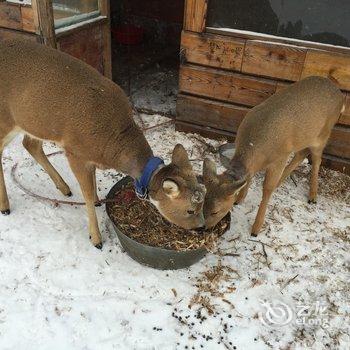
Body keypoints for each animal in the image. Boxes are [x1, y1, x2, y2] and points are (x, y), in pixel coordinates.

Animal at [0, 40, 205, 249]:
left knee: (30, 144)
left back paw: (64, 188)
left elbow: (92, 182)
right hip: (5, 118)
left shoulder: (89, 157)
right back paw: (5, 207)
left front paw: (100, 201)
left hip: (33, 122)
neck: (111, 144)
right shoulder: (74, 152)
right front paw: (96, 238)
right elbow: (87, 194)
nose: (202, 228)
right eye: (190, 209)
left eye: (203, 202)